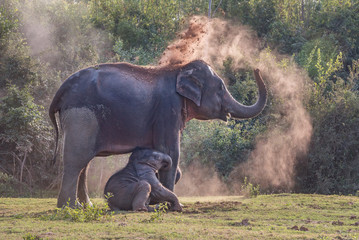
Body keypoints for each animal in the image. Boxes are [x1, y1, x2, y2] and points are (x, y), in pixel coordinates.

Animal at [50, 59, 268, 207]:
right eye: (221, 88)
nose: (257, 68)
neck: (179, 69)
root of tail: (61, 89)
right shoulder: (167, 109)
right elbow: (171, 151)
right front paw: (170, 206)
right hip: (82, 115)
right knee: (77, 159)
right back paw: (71, 207)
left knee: (84, 163)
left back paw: (86, 206)